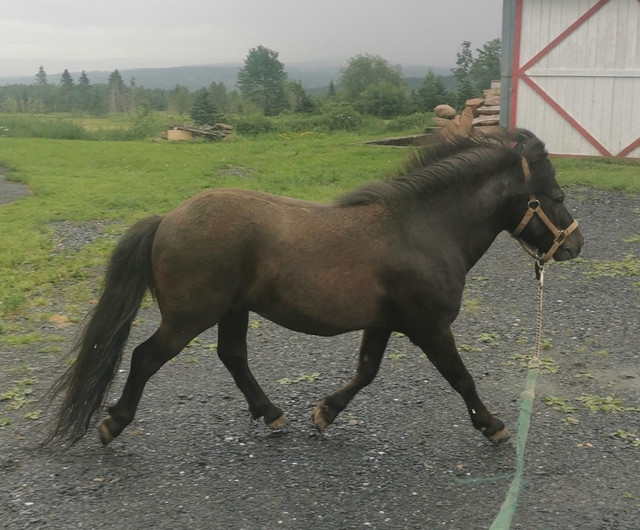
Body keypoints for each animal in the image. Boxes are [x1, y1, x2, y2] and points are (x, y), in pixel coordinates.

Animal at [43, 129, 584, 446]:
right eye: (556, 196)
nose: (576, 245)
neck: (423, 229)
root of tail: (167, 219)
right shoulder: (430, 327)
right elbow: (462, 379)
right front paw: (492, 426)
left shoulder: (384, 323)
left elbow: (365, 372)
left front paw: (324, 413)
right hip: (188, 318)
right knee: (144, 358)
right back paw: (114, 422)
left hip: (233, 310)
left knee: (233, 357)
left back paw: (271, 414)